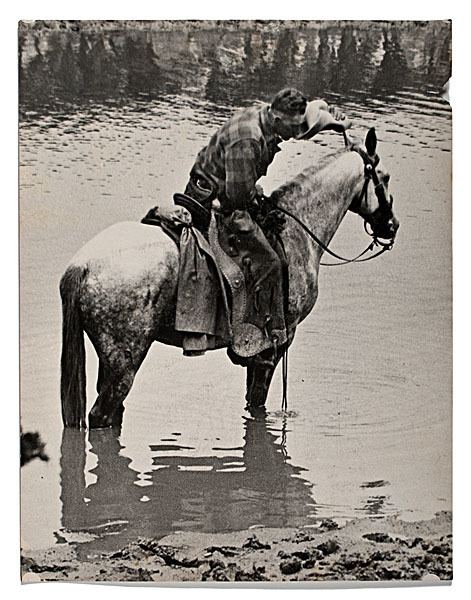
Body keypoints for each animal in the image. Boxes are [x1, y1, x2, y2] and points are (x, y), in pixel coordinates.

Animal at [59, 131, 398, 428]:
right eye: (385, 177)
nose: (392, 226)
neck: (296, 232)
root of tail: (82, 265)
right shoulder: (276, 344)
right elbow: (257, 401)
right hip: (124, 363)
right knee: (102, 415)